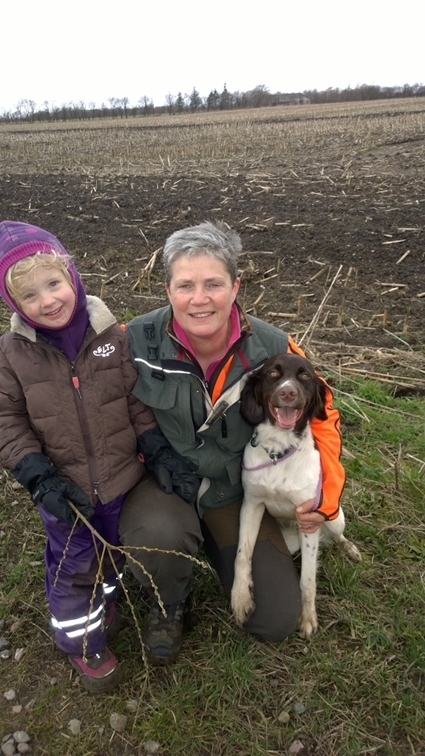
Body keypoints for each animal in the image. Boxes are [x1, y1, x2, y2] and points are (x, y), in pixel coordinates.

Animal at [230, 354, 360, 636]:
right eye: (272, 373)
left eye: (304, 376)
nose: (288, 392)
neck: (278, 450)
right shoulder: (251, 504)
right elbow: (242, 554)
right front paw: (241, 598)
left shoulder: (309, 519)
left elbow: (307, 579)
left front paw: (308, 617)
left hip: (334, 517)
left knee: (337, 535)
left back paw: (350, 548)